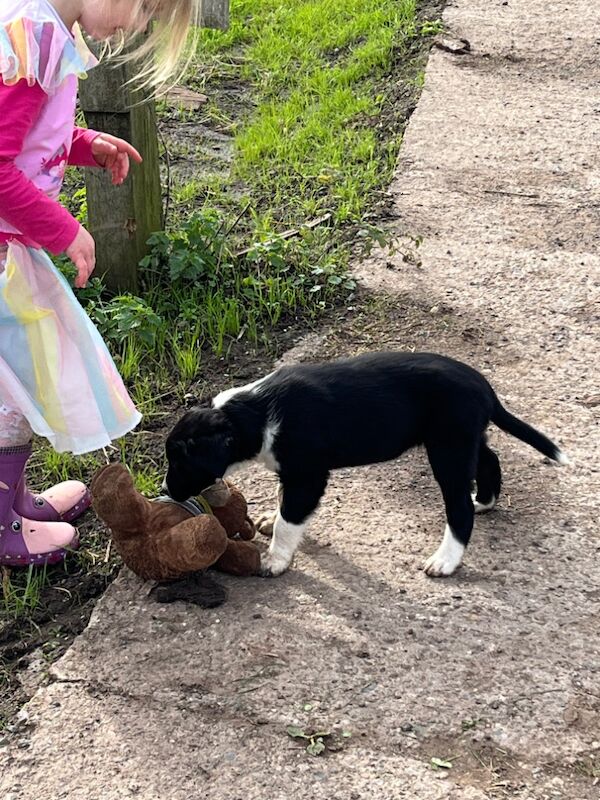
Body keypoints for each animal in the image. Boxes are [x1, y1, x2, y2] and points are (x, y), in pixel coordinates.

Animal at [164, 354, 568, 580]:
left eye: (180, 461)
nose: (166, 492)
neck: (255, 413)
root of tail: (485, 387)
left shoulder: (308, 476)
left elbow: (289, 520)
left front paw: (275, 560)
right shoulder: (291, 473)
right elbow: (282, 503)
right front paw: (269, 518)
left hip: (448, 449)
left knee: (459, 509)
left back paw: (445, 560)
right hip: (466, 438)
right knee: (490, 459)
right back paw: (485, 501)